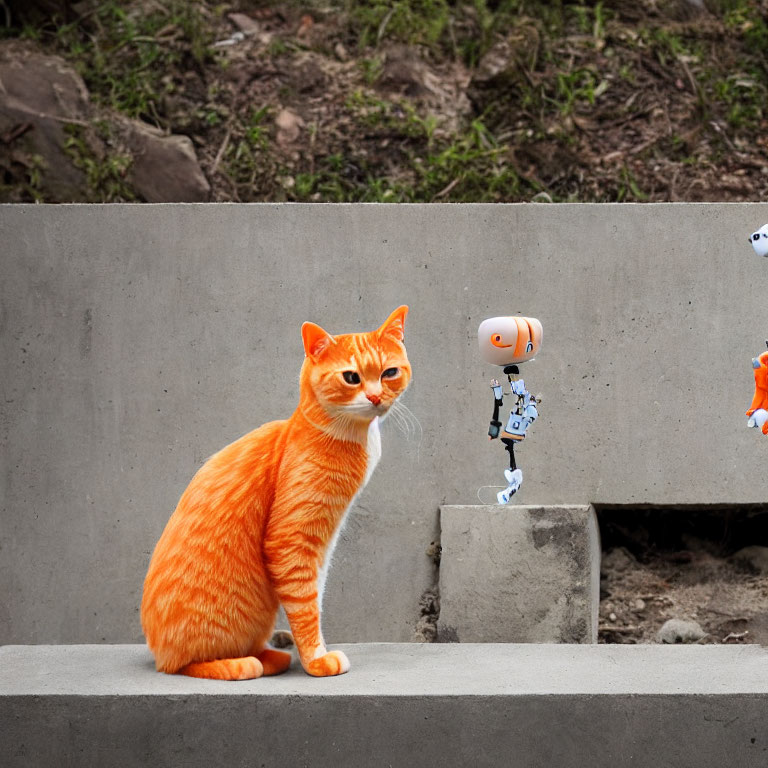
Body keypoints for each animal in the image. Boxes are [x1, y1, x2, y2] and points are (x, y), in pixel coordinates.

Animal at [141, 306, 412, 680]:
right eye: (351, 378)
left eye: (389, 373)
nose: (375, 397)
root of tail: (158, 653)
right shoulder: (291, 540)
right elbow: (304, 605)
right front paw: (316, 660)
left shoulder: (321, 546)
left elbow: (315, 596)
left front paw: (312, 649)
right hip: (201, 646)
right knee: (187, 665)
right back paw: (244, 662)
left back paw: (275, 653)